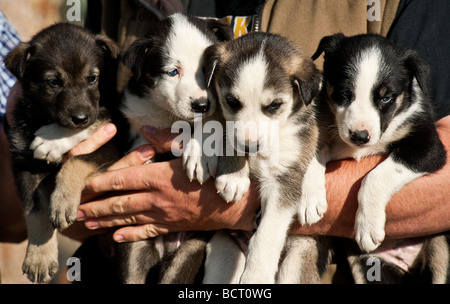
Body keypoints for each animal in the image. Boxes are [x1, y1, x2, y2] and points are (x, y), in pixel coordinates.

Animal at [4, 22, 119, 284]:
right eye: (53, 82)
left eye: (92, 78)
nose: (80, 118)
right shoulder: (24, 165)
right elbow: (35, 211)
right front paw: (39, 257)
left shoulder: (110, 142)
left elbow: (76, 159)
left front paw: (63, 200)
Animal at [204, 32, 324, 284]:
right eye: (232, 101)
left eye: (274, 105)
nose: (249, 146)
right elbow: (226, 129)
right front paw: (234, 176)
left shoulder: (284, 180)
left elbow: (266, 235)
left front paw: (256, 276)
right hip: (224, 250)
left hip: (299, 256)